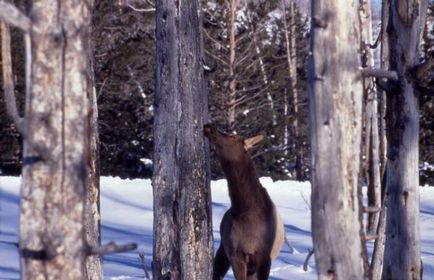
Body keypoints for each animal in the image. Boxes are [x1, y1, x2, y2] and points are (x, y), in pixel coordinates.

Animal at [203, 124, 284, 280]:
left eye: (232, 136)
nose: (208, 126)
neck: (244, 208)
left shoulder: (264, 256)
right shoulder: (236, 254)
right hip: (224, 250)